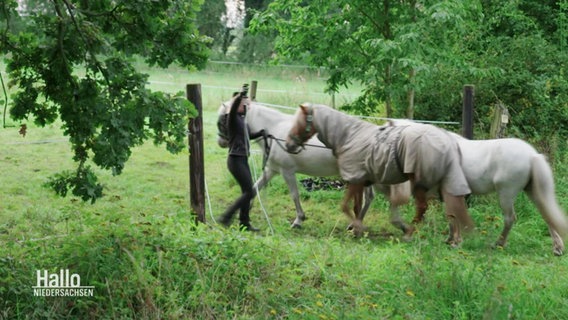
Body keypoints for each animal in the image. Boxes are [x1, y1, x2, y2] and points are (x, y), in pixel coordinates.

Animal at [216, 99, 412, 232]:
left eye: (223, 119)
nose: (221, 142)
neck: (276, 130)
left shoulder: (287, 172)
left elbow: (294, 195)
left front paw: (298, 220)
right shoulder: (272, 170)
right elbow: (254, 188)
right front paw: (240, 213)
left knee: (376, 197)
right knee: (370, 197)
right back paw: (355, 224)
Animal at [286, 102, 478, 245]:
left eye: (300, 122)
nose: (289, 145)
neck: (349, 137)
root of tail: (448, 142)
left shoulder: (355, 180)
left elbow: (347, 206)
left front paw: (357, 228)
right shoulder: (363, 182)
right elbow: (357, 206)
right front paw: (356, 227)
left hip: (421, 182)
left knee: (425, 208)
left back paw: (411, 232)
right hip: (437, 183)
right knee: (449, 207)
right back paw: (449, 238)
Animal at [386, 119, 568, 256]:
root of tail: (532, 155)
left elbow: (451, 215)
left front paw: (455, 242)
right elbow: (451, 216)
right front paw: (450, 240)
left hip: (506, 194)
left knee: (510, 218)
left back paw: (498, 244)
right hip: (532, 191)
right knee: (547, 215)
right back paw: (557, 248)